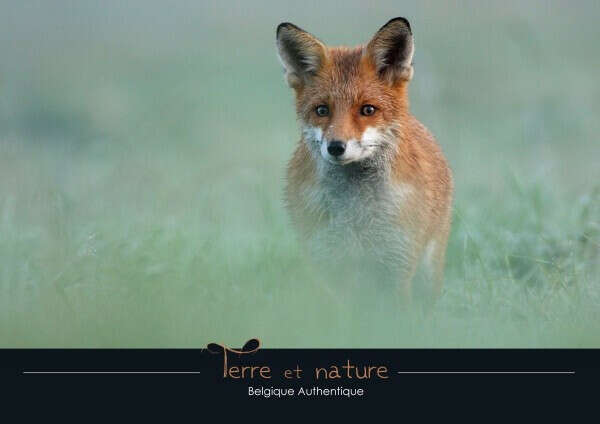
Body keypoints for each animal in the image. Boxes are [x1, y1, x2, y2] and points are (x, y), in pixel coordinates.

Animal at [276, 18, 450, 304]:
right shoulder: (330, 268)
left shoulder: (398, 264)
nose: (336, 147)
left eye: (368, 109)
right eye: (322, 110)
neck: (356, 214)